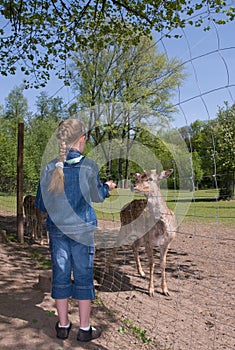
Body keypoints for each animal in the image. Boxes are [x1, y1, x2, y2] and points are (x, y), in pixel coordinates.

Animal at [105, 168, 176, 296]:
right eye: (137, 178)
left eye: (150, 179)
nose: (134, 186)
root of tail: (123, 207)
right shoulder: (148, 241)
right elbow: (152, 263)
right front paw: (151, 290)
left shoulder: (167, 242)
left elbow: (163, 264)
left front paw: (165, 290)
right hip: (125, 227)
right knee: (116, 245)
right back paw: (106, 270)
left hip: (139, 235)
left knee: (134, 245)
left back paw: (141, 272)